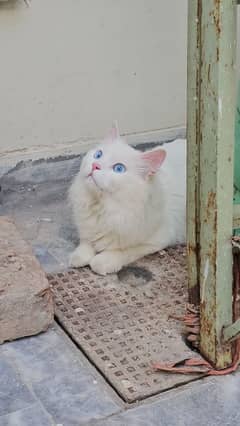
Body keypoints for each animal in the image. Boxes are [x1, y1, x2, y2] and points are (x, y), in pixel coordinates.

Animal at [68, 125, 187, 274]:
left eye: (119, 168)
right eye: (98, 154)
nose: (95, 165)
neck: (103, 208)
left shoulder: (154, 241)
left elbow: (122, 251)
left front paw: (101, 262)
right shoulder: (87, 228)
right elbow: (85, 243)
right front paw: (78, 257)